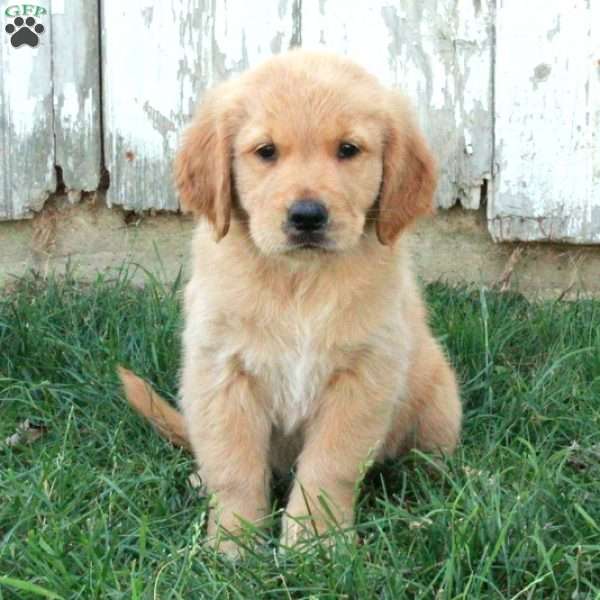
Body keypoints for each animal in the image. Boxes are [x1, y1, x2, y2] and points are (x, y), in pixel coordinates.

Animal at [119, 49, 462, 556]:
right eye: (266, 152)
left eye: (348, 150)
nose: (307, 216)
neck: (299, 281)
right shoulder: (221, 372)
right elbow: (234, 468)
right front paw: (232, 542)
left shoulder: (363, 377)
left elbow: (329, 467)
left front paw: (315, 541)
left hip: (439, 398)